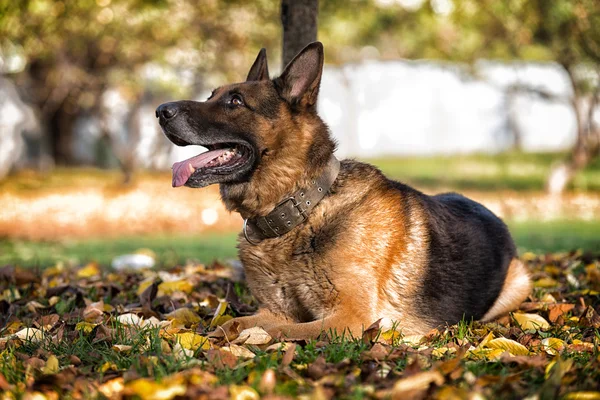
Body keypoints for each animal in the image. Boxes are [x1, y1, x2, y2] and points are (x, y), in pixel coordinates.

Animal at [157, 42, 532, 340]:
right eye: (212, 96)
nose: (161, 110)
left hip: (519, 282)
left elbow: (276, 330)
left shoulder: (348, 319)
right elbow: (234, 322)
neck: (303, 208)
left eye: (235, 101)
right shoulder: (274, 308)